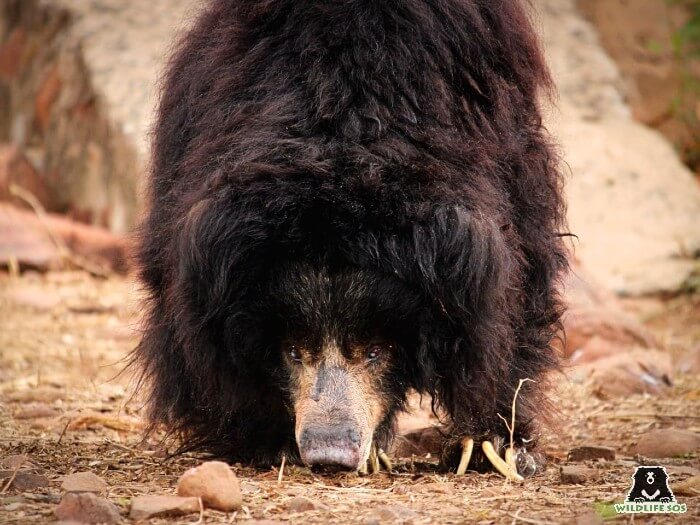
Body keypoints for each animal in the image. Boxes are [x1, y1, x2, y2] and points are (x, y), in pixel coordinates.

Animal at [137, 0, 568, 476]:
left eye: (376, 350)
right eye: (293, 351)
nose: (330, 455)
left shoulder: (506, 157)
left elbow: (512, 299)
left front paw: (490, 446)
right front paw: (269, 440)